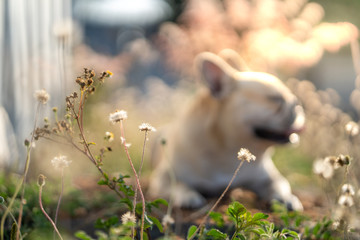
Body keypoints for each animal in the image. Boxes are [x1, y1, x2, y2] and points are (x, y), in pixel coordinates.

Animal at [148, 50, 306, 210]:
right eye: (274, 99)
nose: (297, 103)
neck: (227, 150)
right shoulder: (163, 178)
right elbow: (179, 185)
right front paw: (188, 196)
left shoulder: (269, 178)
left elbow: (279, 185)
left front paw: (285, 198)